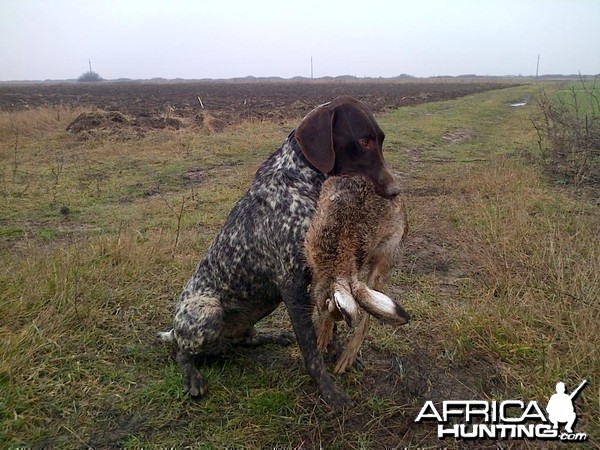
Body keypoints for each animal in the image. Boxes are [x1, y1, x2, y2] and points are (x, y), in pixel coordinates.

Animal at [161, 95, 398, 408]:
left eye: (380, 139)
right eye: (364, 141)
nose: (395, 191)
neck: (302, 182)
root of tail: (174, 330)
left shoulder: (323, 276)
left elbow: (328, 326)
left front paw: (336, 354)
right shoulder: (292, 284)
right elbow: (310, 347)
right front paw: (328, 391)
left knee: (244, 339)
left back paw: (271, 337)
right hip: (206, 312)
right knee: (183, 351)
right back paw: (192, 376)